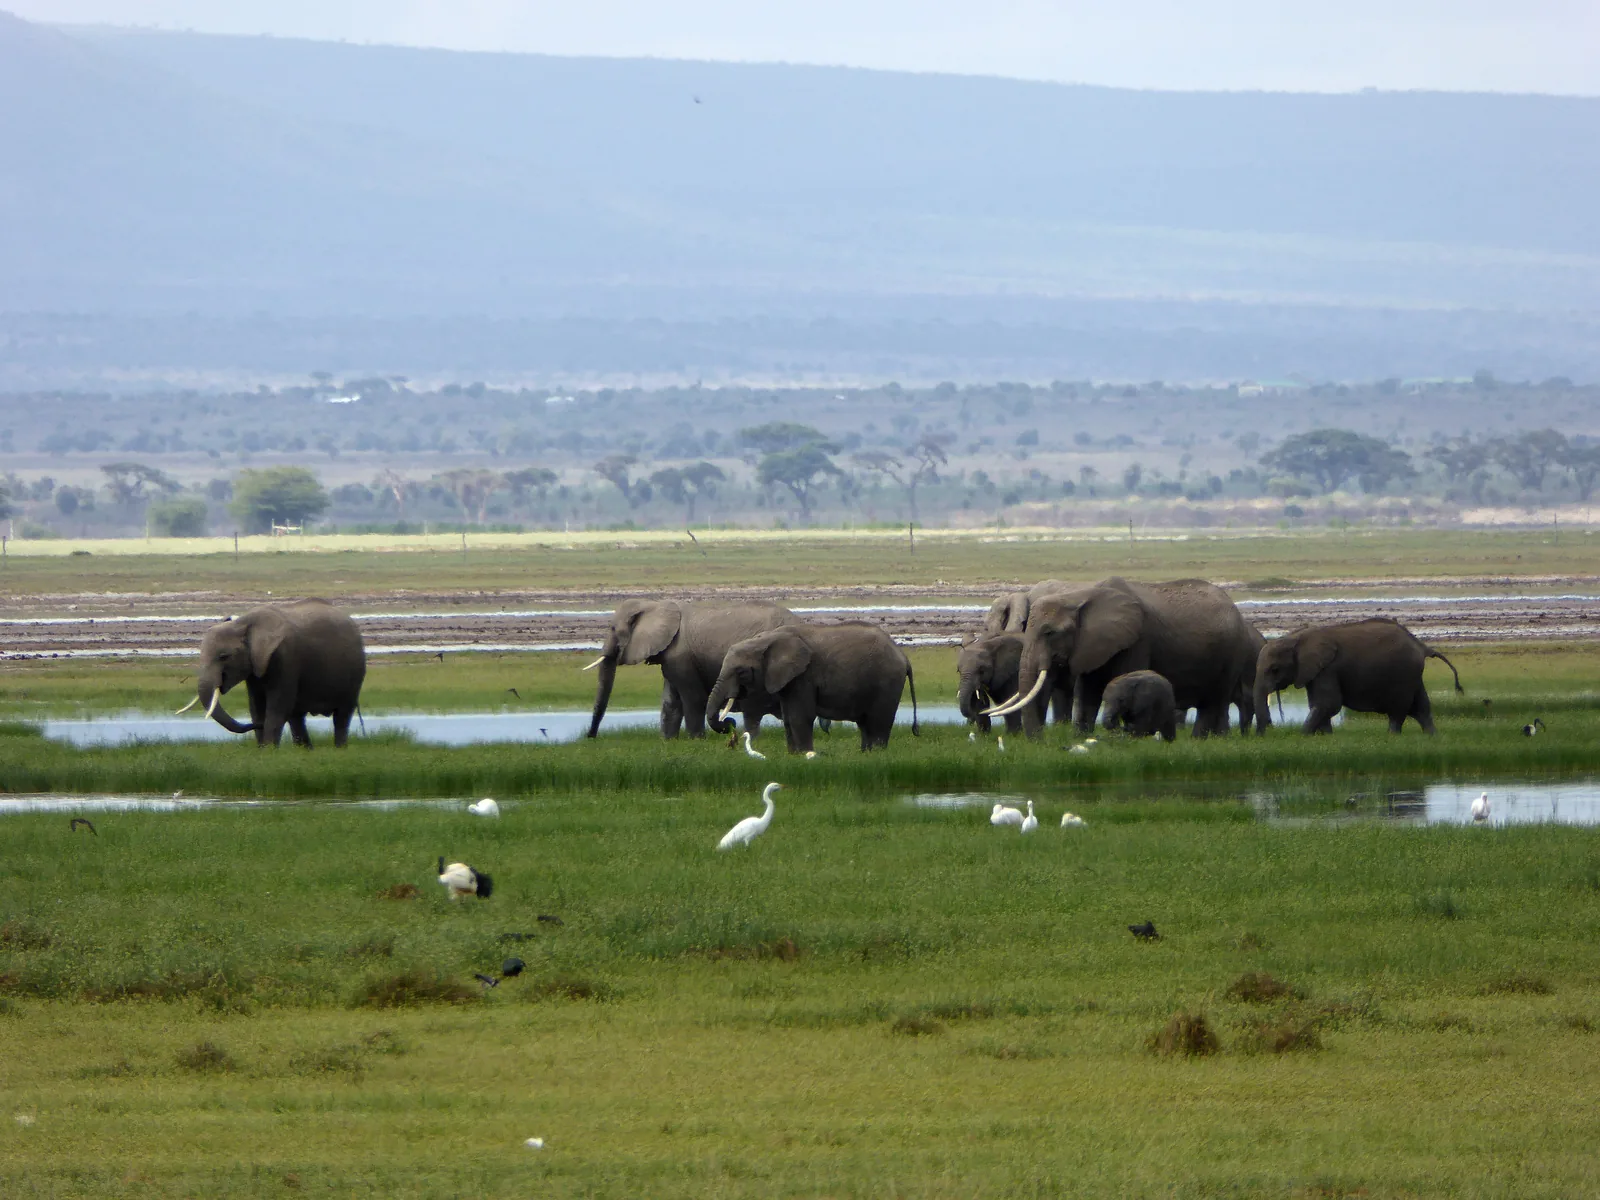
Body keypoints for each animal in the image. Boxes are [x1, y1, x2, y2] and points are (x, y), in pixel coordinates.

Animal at [182, 599, 365, 747]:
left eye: (223, 657)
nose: (258, 726)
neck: (243, 623)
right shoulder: (255, 666)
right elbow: (256, 707)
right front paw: (263, 750)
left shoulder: (285, 657)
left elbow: (277, 709)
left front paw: (269, 751)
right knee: (297, 716)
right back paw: (305, 751)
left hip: (355, 672)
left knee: (342, 715)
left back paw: (340, 749)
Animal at [585, 600, 798, 739]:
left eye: (612, 629)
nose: (590, 736)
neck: (653, 605)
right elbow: (670, 702)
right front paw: (668, 741)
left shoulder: (681, 657)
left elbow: (693, 698)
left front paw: (696, 740)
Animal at [705, 622, 920, 753]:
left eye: (741, 672)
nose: (729, 723)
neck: (767, 639)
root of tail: (904, 656)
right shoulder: (788, 679)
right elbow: (788, 718)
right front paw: (793, 756)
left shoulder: (804, 675)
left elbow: (799, 716)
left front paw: (805, 755)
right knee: (865, 723)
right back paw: (866, 754)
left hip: (887, 682)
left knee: (878, 721)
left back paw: (876, 753)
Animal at [987, 577, 1252, 739]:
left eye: (1050, 633)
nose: (1040, 742)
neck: (1080, 597)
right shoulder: (1091, 644)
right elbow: (1087, 692)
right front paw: (1082, 739)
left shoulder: (1137, 639)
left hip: (1232, 650)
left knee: (1214, 700)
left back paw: (1200, 741)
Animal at [1253, 617, 1463, 734]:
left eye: (1274, 669)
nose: (1265, 734)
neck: (1295, 637)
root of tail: (1422, 646)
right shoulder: (1315, 672)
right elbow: (1319, 705)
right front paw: (1325, 737)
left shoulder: (1328, 669)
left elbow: (1328, 704)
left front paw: (1302, 736)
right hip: (1412, 675)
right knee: (1421, 708)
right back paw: (1432, 737)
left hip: (1403, 675)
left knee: (1398, 711)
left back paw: (1391, 737)